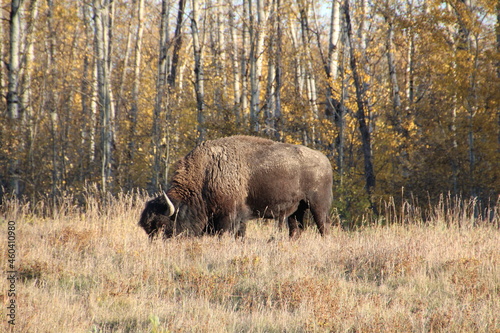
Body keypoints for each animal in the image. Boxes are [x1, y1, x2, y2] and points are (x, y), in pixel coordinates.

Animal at [138, 134, 332, 237]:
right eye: (148, 230)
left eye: (164, 227)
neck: (207, 174)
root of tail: (325, 160)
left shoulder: (229, 216)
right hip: (296, 210)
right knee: (295, 229)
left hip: (318, 206)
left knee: (323, 227)